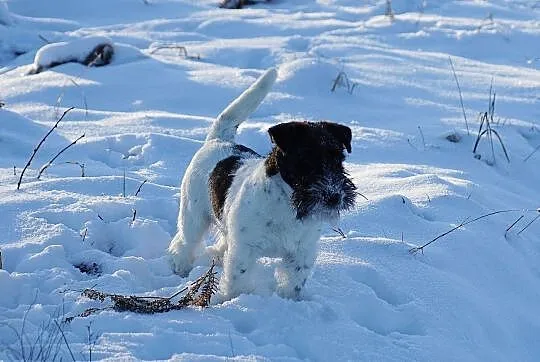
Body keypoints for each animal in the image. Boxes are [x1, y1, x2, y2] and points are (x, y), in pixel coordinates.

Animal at [167, 68, 356, 300]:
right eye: (305, 159)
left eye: (339, 160)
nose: (334, 197)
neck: (287, 204)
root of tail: (219, 140)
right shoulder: (245, 250)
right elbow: (237, 279)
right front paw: (233, 301)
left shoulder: (301, 253)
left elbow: (294, 283)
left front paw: (288, 301)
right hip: (193, 214)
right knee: (184, 242)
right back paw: (180, 267)